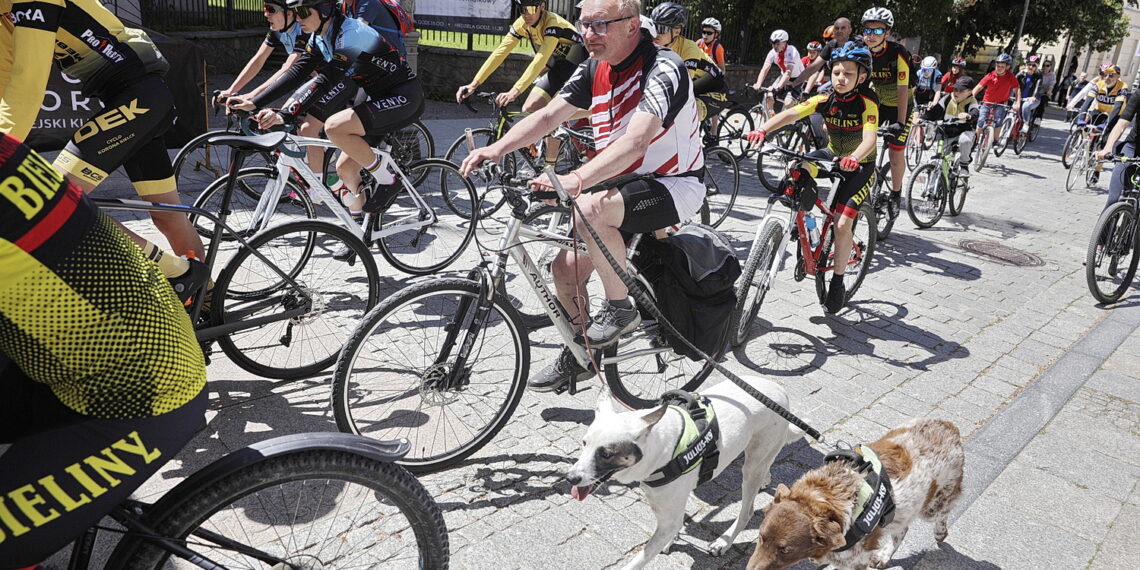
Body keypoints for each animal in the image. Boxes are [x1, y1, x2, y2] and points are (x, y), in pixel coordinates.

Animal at [567, 376, 802, 567]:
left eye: (606, 454)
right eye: (584, 443)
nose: (570, 478)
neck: (660, 449)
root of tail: (781, 392)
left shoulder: (668, 517)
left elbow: (638, 560)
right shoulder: (668, 512)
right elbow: (674, 525)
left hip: (752, 467)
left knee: (747, 510)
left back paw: (723, 542)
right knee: (766, 465)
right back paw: (766, 478)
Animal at [747, 417, 962, 567]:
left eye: (785, 550)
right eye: (761, 537)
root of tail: (950, 427)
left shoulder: (856, 560)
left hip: (934, 504)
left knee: (942, 514)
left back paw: (940, 533)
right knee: (902, 529)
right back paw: (884, 556)